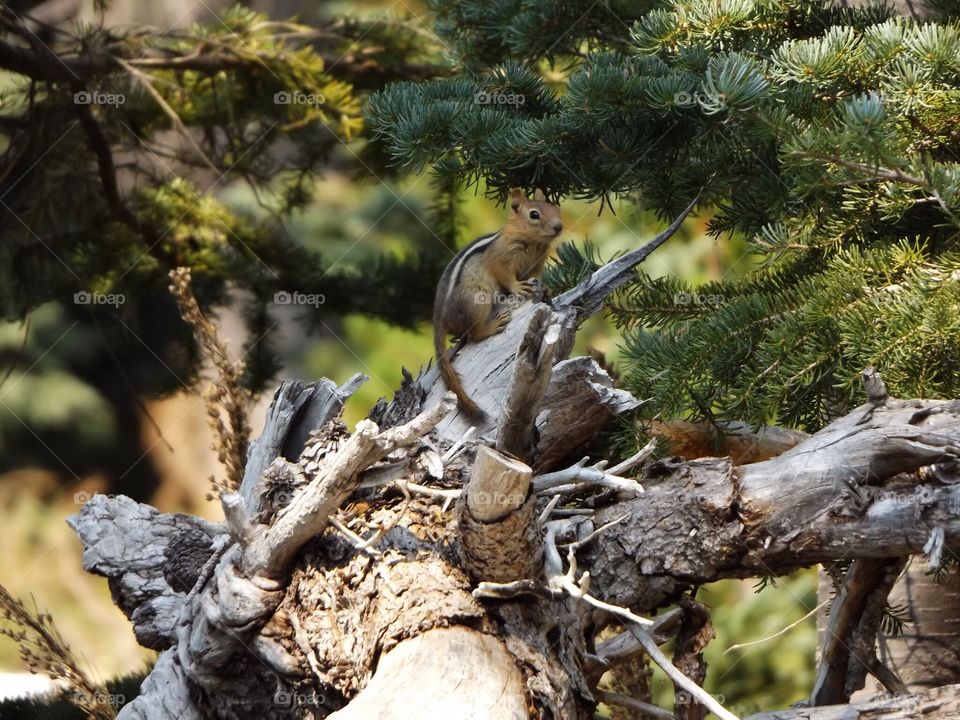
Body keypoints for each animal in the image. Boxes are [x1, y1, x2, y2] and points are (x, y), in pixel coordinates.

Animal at [433, 188, 563, 418]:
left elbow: (537, 277)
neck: (532, 242)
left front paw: (546, 288)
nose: (559, 226)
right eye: (534, 214)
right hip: (477, 300)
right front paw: (519, 287)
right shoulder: (502, 260)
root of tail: (439, 317)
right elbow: (506, 277)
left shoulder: (536, 265)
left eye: (556, 208)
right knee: (474, 334)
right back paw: (492, 326)